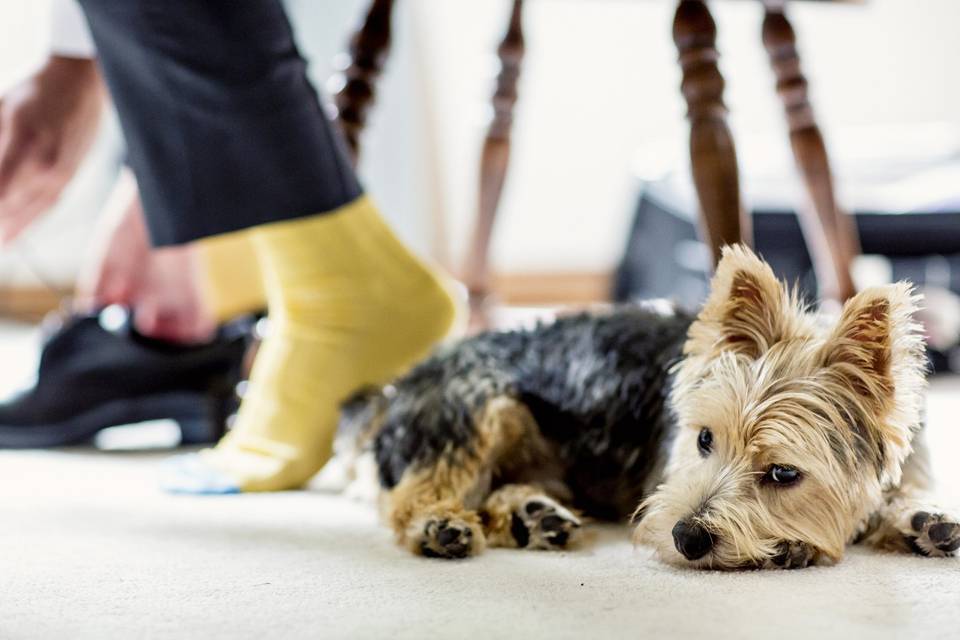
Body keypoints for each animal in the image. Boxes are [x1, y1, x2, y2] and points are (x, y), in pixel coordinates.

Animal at [342, 246, 956, 568]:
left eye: (784, 473)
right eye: (704, 439)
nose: (687, 538)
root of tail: (399, 385)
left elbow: (906, 493)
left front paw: (924, 519)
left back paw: (532, 517)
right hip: (475, 410)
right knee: (412, 492)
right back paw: (439, 525)